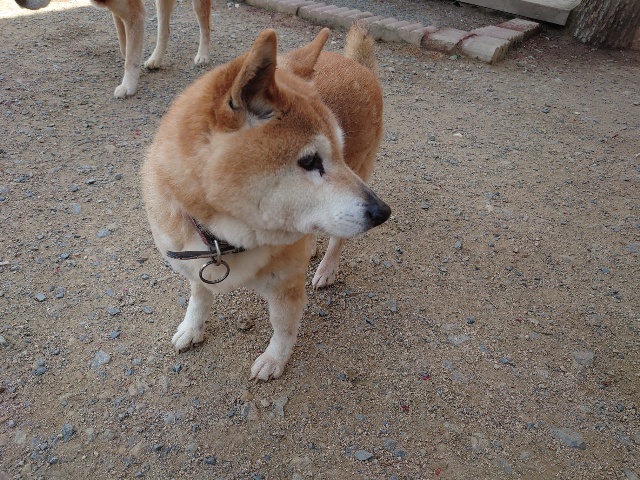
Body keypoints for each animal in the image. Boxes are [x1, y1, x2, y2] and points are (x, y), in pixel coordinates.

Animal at [15, 0, 210, 98]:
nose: (20, 2)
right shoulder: (119, 12)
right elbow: (126, 49)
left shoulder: (134, 15)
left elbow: (131, 58)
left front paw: (128, 86)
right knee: (164, 30)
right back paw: (156, 59)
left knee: (205, 27)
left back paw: (203, 55)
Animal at [141, 23, 390, 380]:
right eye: (310, 161)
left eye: (338, 154)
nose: (383, 212)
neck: (223, 240)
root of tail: (356, 65)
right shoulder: (192, 261)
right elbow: (199, 296)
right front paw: (192, 327)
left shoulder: (285, 285)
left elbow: (283, 326)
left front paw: (274, 359)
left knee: (338, 240)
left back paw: (326, 268)